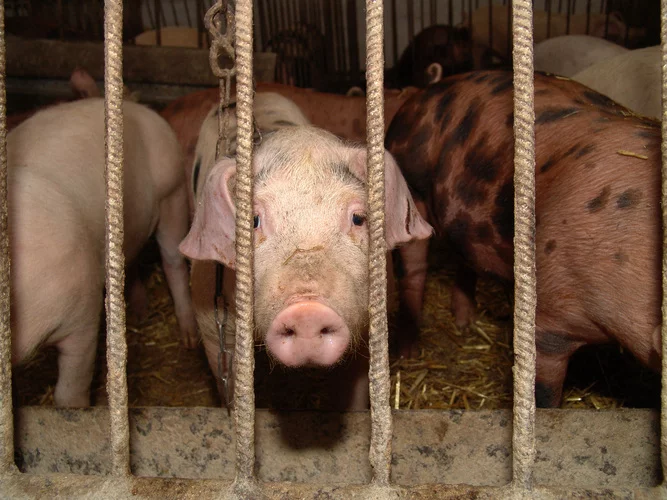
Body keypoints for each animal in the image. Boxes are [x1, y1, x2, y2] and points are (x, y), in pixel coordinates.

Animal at [9, 98, 197, 406]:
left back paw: (190, 339)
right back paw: (139, 313)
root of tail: (136, 106)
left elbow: (69, 392)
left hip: (173, 191)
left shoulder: (82, 310)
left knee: (174, 262)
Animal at [385, 70, 661, 407]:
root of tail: (420, 96)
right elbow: (543, 390)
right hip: (413, 187)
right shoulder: (550, 316)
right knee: (414, 269)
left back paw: (466, 323)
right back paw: (408, 352)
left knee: (464, 258)